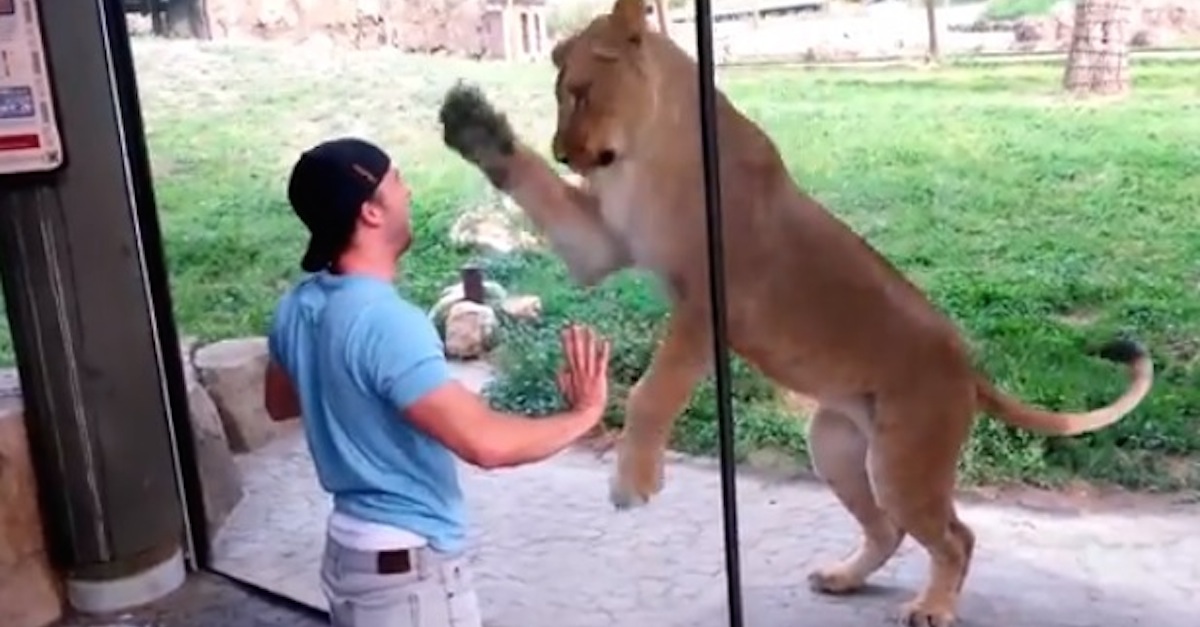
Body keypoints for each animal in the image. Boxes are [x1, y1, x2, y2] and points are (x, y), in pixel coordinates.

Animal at [439, 0, 1152, 619]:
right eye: (561, 94)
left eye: (582, 91)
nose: (566, 152)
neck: (645, 152)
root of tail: (969, 368)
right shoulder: (604, 247)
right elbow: (534, 185)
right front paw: (474, 124)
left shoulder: (707, 301)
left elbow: (652, 393)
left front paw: (632, 484)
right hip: (836, 446)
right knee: (887, 529)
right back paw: (842, 577)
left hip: (904, 462)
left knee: (956, 536)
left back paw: (932, 608)